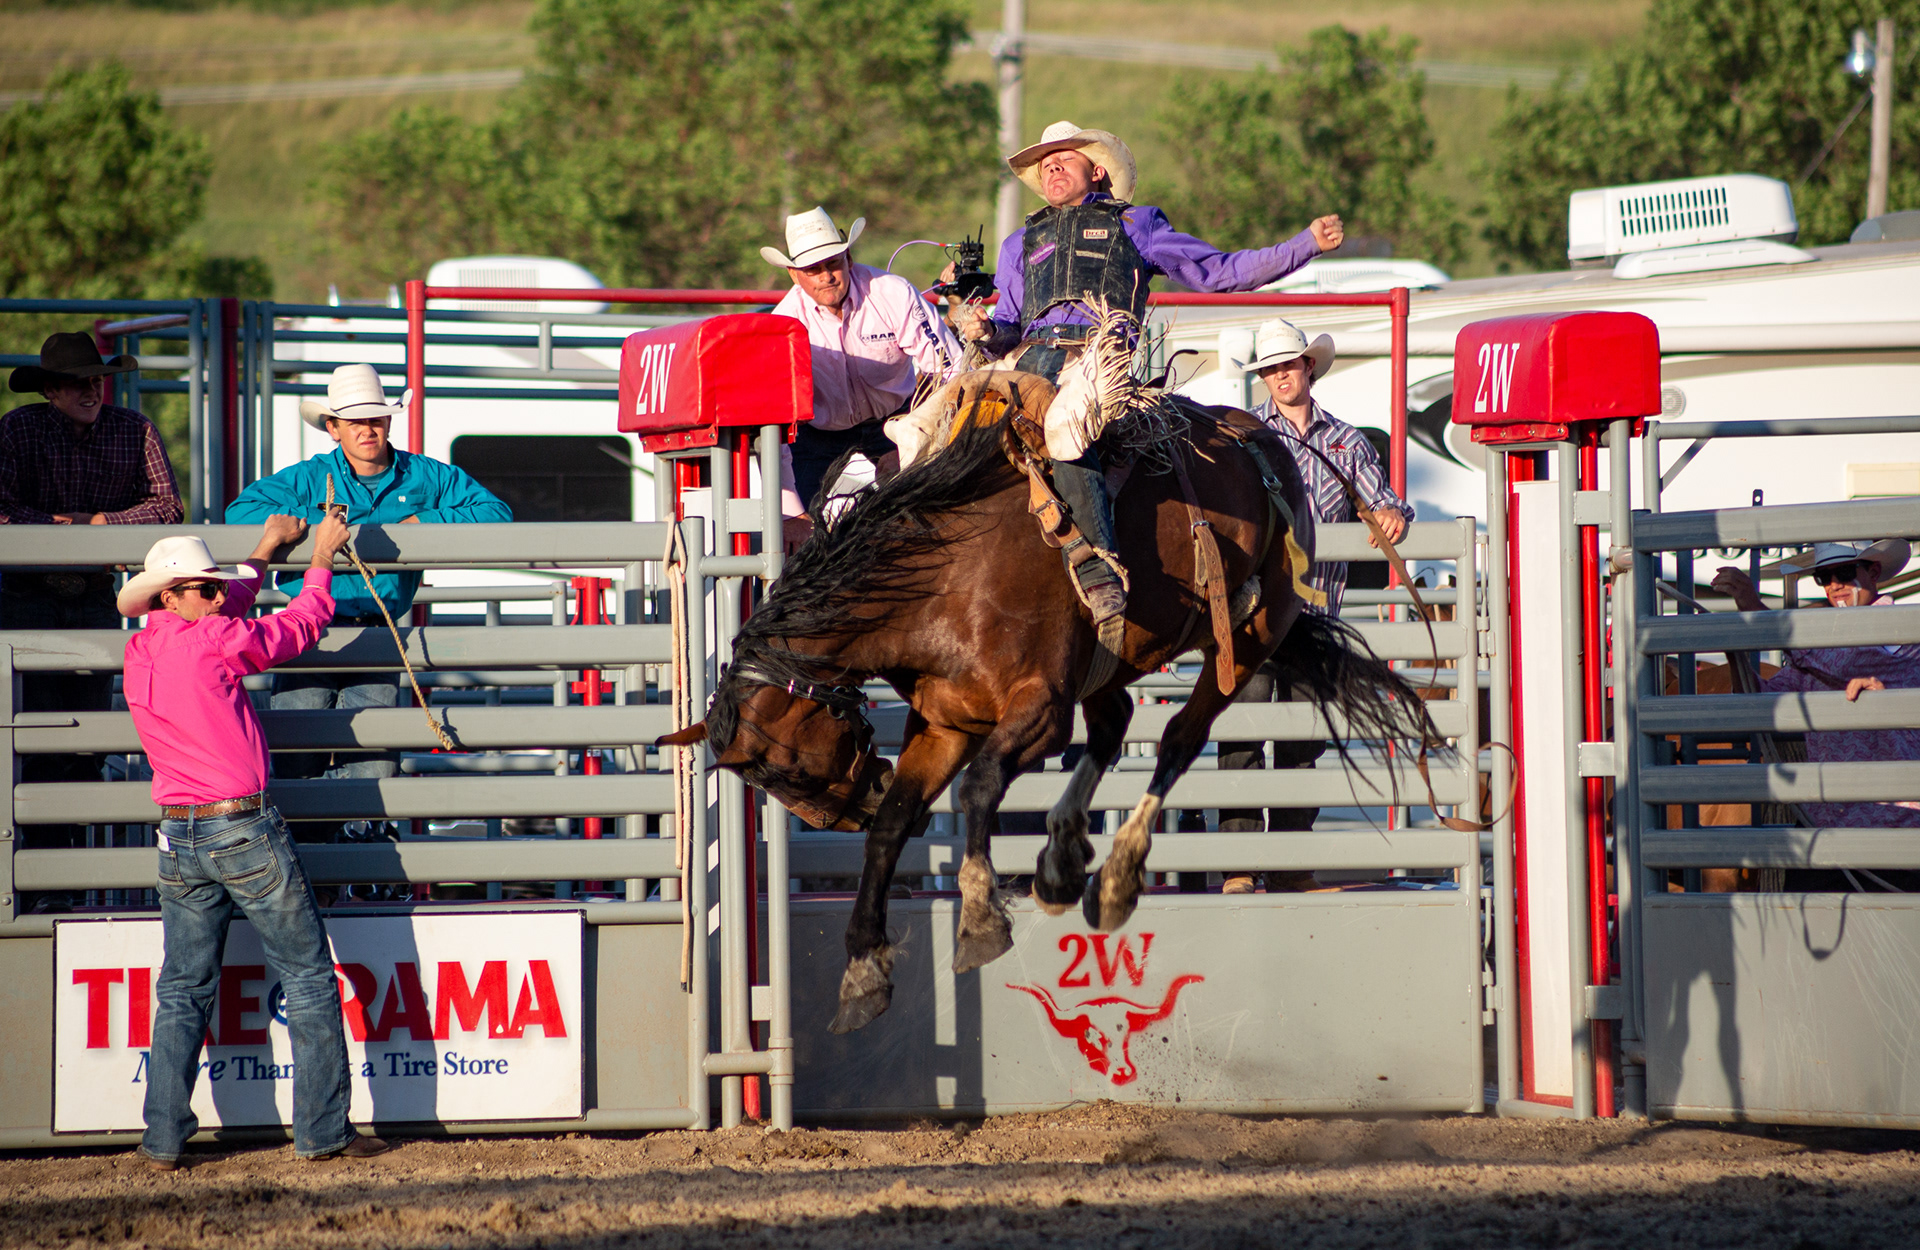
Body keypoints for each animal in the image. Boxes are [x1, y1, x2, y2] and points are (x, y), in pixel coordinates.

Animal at [660, 372, 1428, 1036]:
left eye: (785, 767)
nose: (849, 811)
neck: (942, 583)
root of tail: (1262, 439)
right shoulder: (945, 723)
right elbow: (899, 826)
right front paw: (862, 974)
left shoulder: (1039, 712)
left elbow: (979, 788)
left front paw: (979, 917)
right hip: (1119, 655)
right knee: (1115, 727)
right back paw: (1061, 863)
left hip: (1249, 634)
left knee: (1178, 739)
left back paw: (1114, 879)